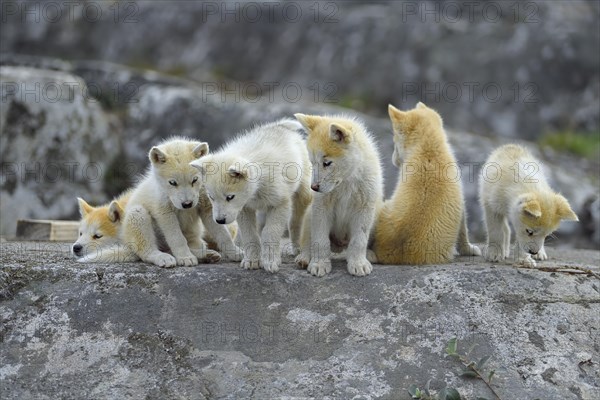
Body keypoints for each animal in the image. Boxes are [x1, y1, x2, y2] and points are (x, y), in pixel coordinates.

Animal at [376, 101, 478, 264]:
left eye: (394, 142)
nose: (393, 159)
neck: (428, 149)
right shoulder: (459, 197)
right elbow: (463, 226)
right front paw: (469, 249)